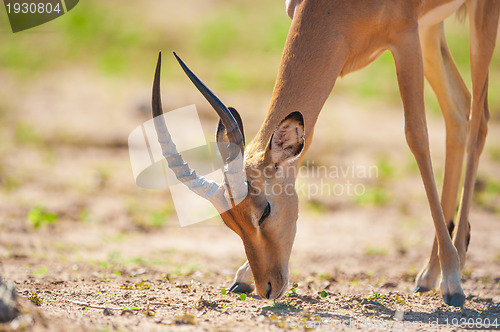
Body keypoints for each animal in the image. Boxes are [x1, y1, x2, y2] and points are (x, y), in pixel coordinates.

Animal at [152, 0, 500, 306]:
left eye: (264, 211)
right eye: (230, 222)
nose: (268, 287)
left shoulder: (405, 38)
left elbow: (416, 135)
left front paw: (453, 280)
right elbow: (306, 142)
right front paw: (242, 277)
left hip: (475, 19)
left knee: (479, 120)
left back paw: (453, 271)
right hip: (431, 28)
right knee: (458, 111)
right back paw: (428, 274)